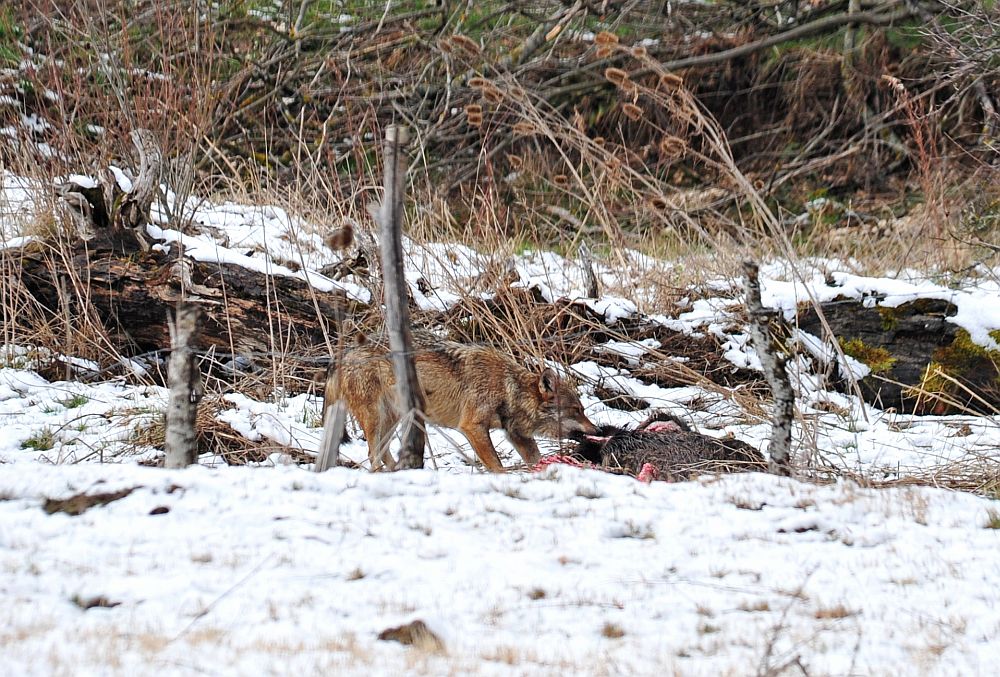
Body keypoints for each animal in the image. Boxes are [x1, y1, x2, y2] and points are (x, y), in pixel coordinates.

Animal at [324, 332, 596, 470]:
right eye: (576, 410)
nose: (599, 430)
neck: (508, 389)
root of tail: (342, 354)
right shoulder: (472, 427)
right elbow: (496, 464)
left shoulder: (518, 436)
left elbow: (535, 459)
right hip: (376, 418)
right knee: (373, 453)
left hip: (394, 419)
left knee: (383, 452)